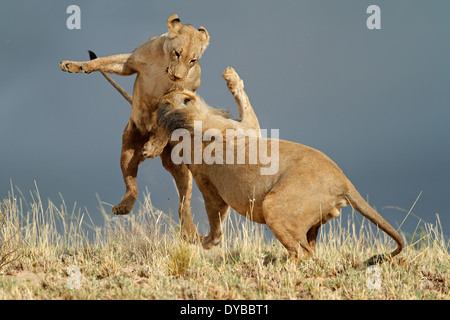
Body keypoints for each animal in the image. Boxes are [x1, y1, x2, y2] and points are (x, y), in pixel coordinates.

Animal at [59, 13, 211, 241]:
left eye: (193, 60)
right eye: (177, 53)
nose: (177, 76)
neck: (163, 65)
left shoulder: (183, 93)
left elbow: (166, 117)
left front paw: (155, 144)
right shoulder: (129, 62)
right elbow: (102, 61)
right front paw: (73, 65)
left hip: (182, 163)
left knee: (184, 203)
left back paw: (190, 232)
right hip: (128, 148)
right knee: (132, 186)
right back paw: (123, 206)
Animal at [156, 67, 404, 264]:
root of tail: (343, 181)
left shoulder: (247, 129)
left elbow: (245, 103)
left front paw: (231, 76)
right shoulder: (221, 164)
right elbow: (215, 219)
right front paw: (204, 241)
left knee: (306, 251)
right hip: (275, 208)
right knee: (304, 253)